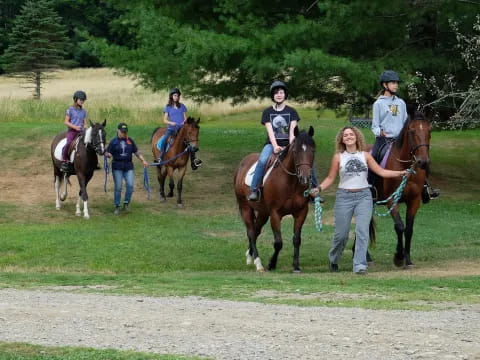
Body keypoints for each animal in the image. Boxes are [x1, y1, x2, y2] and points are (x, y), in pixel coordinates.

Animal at [376, 111, 436, 266]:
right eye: (412, 131)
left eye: (429, 131)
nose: (423, 161)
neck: (405, 168)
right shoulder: (392, 200)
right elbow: (399, 226)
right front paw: (398, 257)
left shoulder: (414, 200)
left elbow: (409, 229)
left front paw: (407, 259)